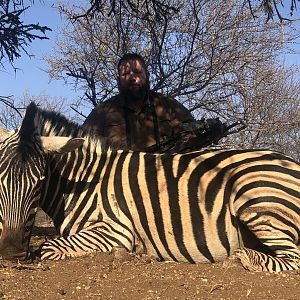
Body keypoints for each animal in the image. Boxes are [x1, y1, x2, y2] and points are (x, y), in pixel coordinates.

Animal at [0, 102, 298, 272]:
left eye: (40, 181)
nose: (12, 253)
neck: (83, 181)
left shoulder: (116, 230)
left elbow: (48, 247)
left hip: (255, 199)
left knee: (293, 258)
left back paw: (240, 258)